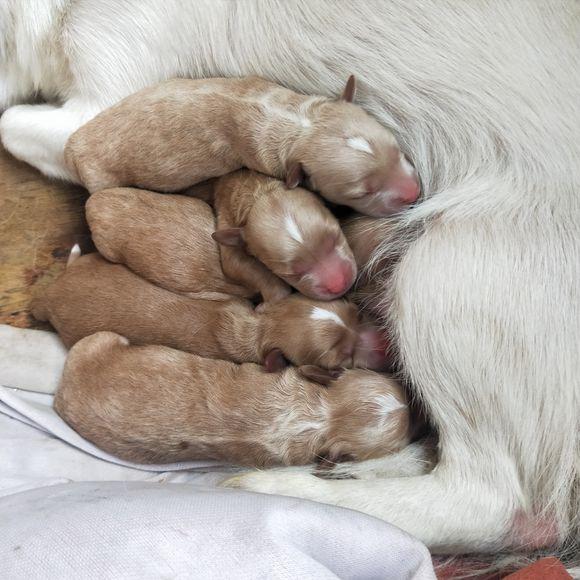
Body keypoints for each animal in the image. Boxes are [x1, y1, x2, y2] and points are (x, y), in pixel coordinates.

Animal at [63, 75, 420, 215]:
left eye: (400, 152)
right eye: (361, 192)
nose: (414, 192)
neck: (298, 123)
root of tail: (71, 147)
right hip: (101, 177)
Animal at [212, 170, 356, 302]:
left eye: (336, 236)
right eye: (291, 275)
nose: (338, 284)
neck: (259, 193)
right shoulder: (227, 230)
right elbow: (242, 266)